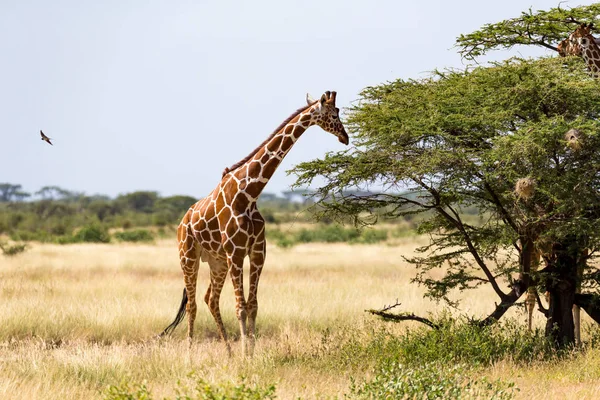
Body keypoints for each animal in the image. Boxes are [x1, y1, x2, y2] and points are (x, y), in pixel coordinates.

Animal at [159, 90, 350, 356]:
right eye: (333, 115)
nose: (345, 137)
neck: (248, 194)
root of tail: (181, 223)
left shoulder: (257, 251)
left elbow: (253, 305)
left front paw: (251, 352)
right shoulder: (237, 252)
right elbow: (240, 306)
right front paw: (244, 355)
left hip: (217, 261)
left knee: (211, 299)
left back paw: (228, 352)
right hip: (188, 256)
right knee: (193, 304)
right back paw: (189, 353)